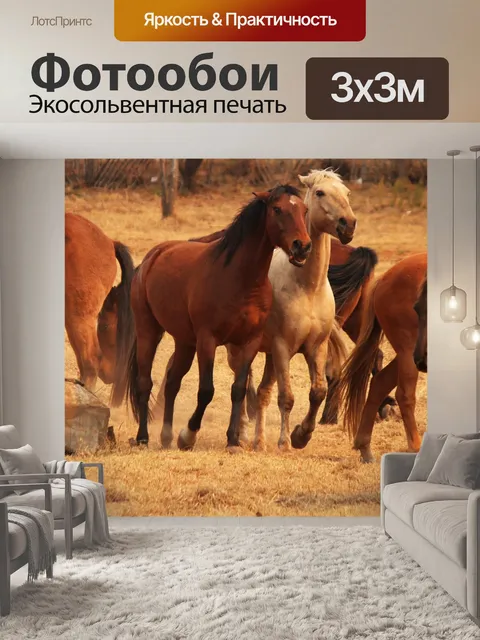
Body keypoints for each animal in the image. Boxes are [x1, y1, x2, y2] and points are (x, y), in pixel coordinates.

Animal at [111, 185, 312, 450]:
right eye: (277, 209)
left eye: (304, 209)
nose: (302, 246)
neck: (240, 279)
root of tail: (151, 258)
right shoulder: (207, 340)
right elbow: (206, 390)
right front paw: (188, 435)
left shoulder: (249, 342)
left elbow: (238, 389)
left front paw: (233, 440)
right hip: (149, 332)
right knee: (145, 383)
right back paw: (144, 436)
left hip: (184, 342)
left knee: (172, 382)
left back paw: (166, 436)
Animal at [335, 252, 427, 463]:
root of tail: (384, 279)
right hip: (408, 352)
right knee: (404, 395)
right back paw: (416, 447)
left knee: (379, 383)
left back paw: (365, 447)